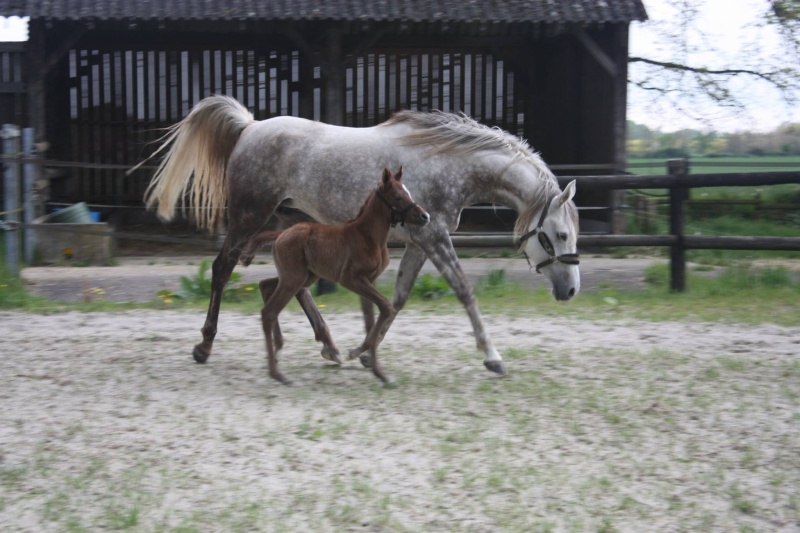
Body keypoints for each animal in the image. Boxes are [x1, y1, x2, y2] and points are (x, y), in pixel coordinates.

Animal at [139, 96, 580, 378]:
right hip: (249, 216)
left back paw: (330, 345)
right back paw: (204, 346)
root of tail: (249, 127)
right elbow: (464, 292)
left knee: (297, 285)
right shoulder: (434, 237)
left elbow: (397, 299)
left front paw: (365, 354)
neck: (451, 164)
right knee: (222, 268)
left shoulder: (420, 241)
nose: (571, 291)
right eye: (559, 235)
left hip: (289, 221)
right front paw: (492, 357)